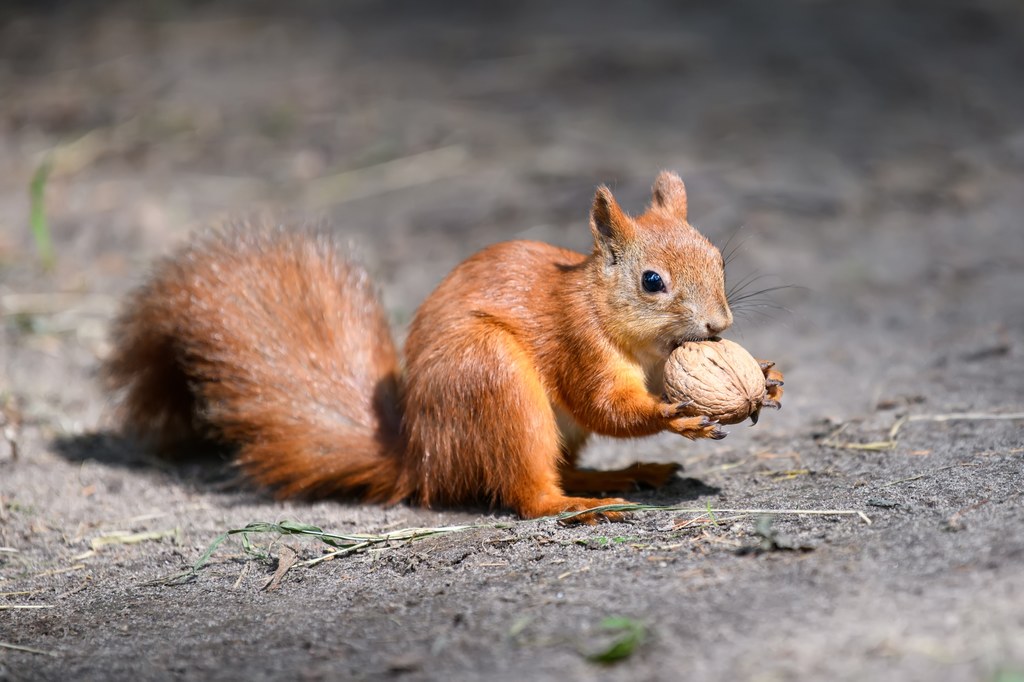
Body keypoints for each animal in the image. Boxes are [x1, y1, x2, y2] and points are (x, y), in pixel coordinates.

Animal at [105, 171, 782, 520]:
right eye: (651, 282)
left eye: (719, 258)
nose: (719, 325)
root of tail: (422, 458)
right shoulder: (578, 342)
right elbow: (605, 407)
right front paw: (676, 415)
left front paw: (765, 377)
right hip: (492, 379)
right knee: (527, 492)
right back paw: (578, 504)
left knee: (559, 466)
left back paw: (624, 475)